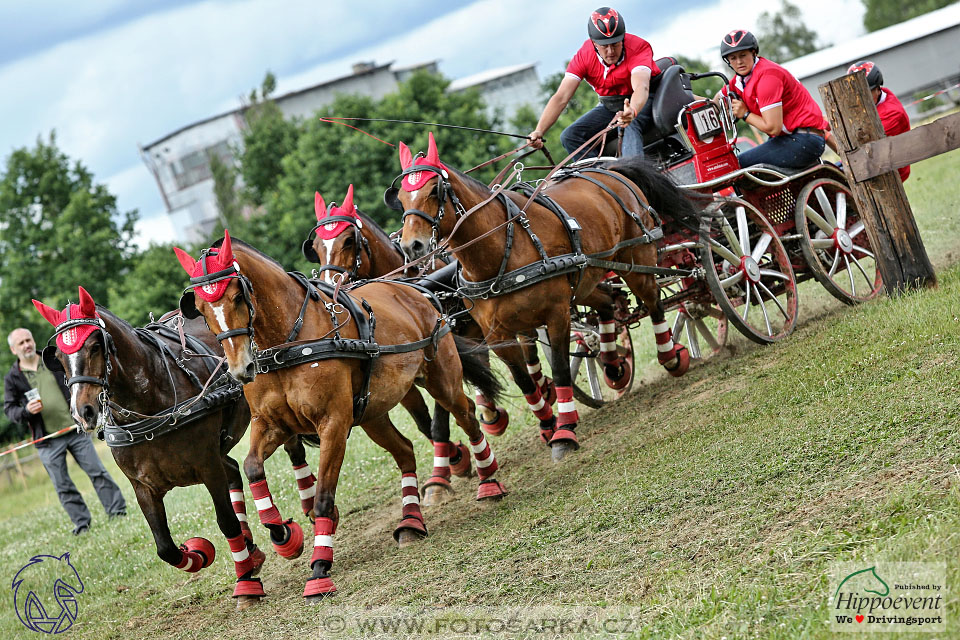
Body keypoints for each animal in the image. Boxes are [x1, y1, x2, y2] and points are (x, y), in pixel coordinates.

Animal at [31, 288, 318, 608]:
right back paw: (252, 550)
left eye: (95, 346)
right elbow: (165, 547)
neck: (152, 403)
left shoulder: (208, 466)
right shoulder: (142, 487)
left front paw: (246, 584)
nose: (83, 412)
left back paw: (296, 518)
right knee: (233, 470)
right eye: (58, 356)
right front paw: (198, 554)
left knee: (291, 453)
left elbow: (227, 522)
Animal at [173, 230, 506, 600]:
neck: (288, 342)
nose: (240, 368)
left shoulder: (333, 424)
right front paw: (281, 533)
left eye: (235, 296)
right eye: (202, 310)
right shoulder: (270, 425)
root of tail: (416, 291)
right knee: (405, 450)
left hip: (441, 380)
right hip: (374, 414)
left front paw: (320, 568)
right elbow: (252, 467)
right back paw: (410, 521)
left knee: (467, 417)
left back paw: (489, 481)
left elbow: (322, 498)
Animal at [390, 132, 696, 460]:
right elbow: (524, 380)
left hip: (635, 257)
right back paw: (613, 365)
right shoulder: (496, 334)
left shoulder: (556, 314)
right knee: (607, 302)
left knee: (652, 300)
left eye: (435, 190)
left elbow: (561, 370)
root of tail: (607, 170)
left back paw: (670, 355)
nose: (412, 246)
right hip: (588, 277)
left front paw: (564, 431)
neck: (502, 248)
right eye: (401, 199)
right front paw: (547, 423)